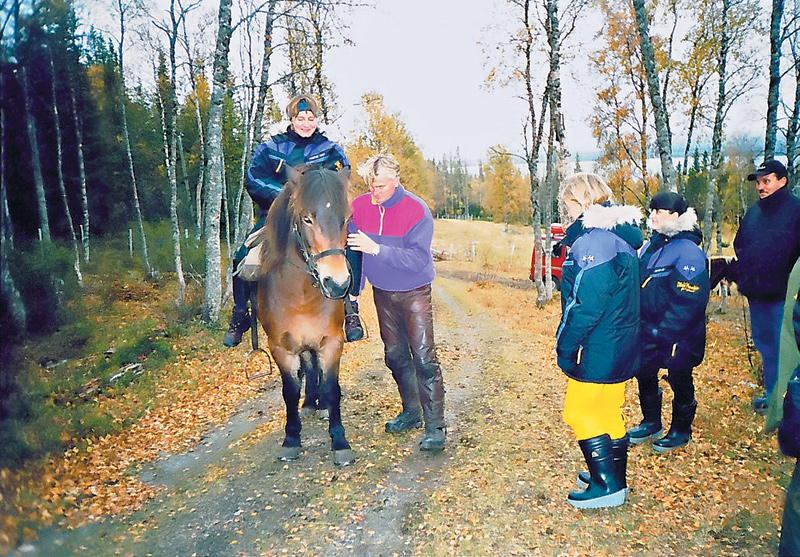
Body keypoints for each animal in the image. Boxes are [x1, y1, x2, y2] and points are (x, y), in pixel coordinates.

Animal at [258, 164, 354, 464]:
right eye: (307, 219)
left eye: (346, 218)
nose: (336, 284)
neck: (300, 295)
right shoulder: (281, 348)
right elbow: (289, 392)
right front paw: (291, 439)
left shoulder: (332, 342)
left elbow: (332, 389)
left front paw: (340, 441)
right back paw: (311, 403)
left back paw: (319, 404)